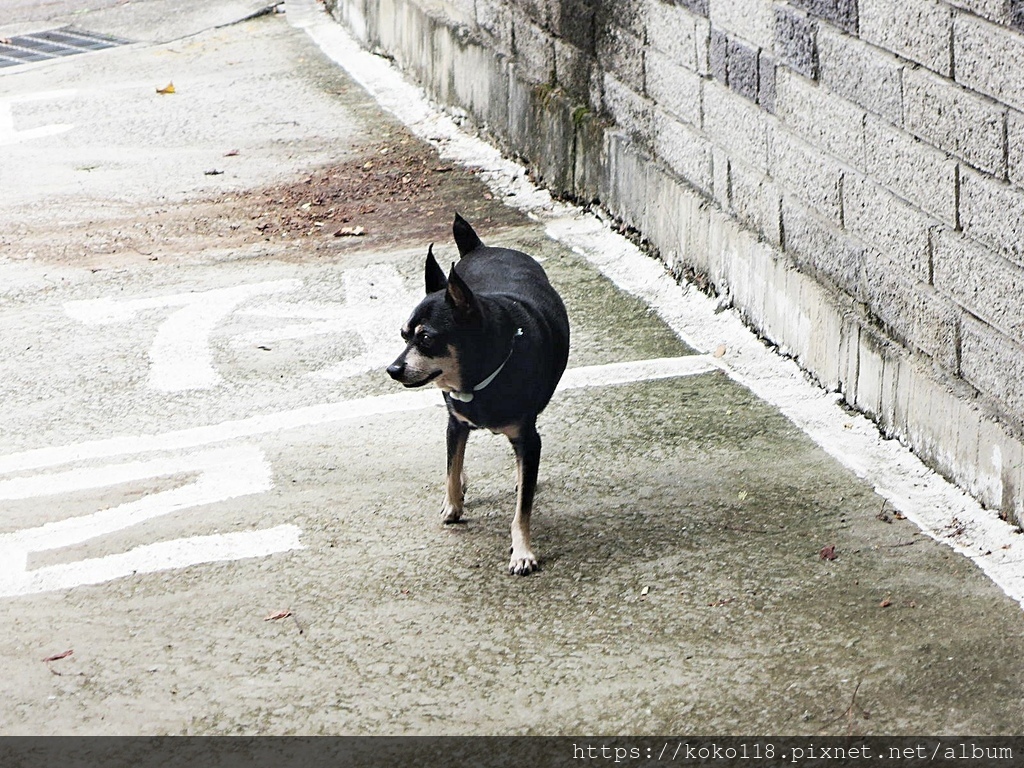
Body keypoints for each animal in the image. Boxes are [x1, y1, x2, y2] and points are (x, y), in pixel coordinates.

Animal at [387, 214, 573, 573]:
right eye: (403, 336)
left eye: (426, 338)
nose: (393, 369)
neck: (479, 381)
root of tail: (480, 247)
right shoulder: (455, 421)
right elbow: (452, 465)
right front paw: (453, 504)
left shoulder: (528, 438)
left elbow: (522, 509)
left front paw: (522, 551)